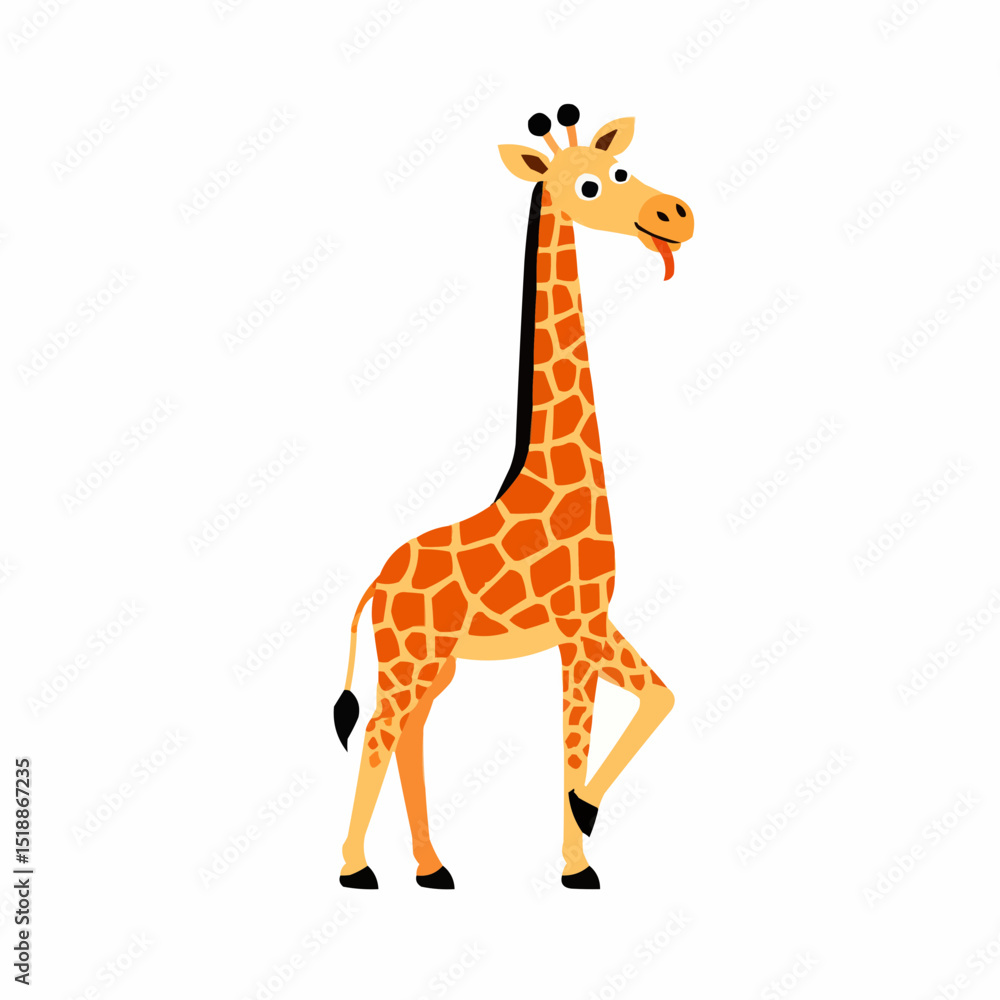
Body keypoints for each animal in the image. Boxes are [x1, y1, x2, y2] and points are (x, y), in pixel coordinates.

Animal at [335, 105, 694, 890]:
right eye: (590, 185)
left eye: (623, 168)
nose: (676, 215)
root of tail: (376, 581)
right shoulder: (580, 629)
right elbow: (575, 737)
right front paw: (578, 858)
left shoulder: (595, 623)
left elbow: (659, 697)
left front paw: (581, 830)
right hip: (410, 656)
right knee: (379, 730)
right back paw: (355, 868)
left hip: (435, 663)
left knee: (410, 732)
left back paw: (433, 868)